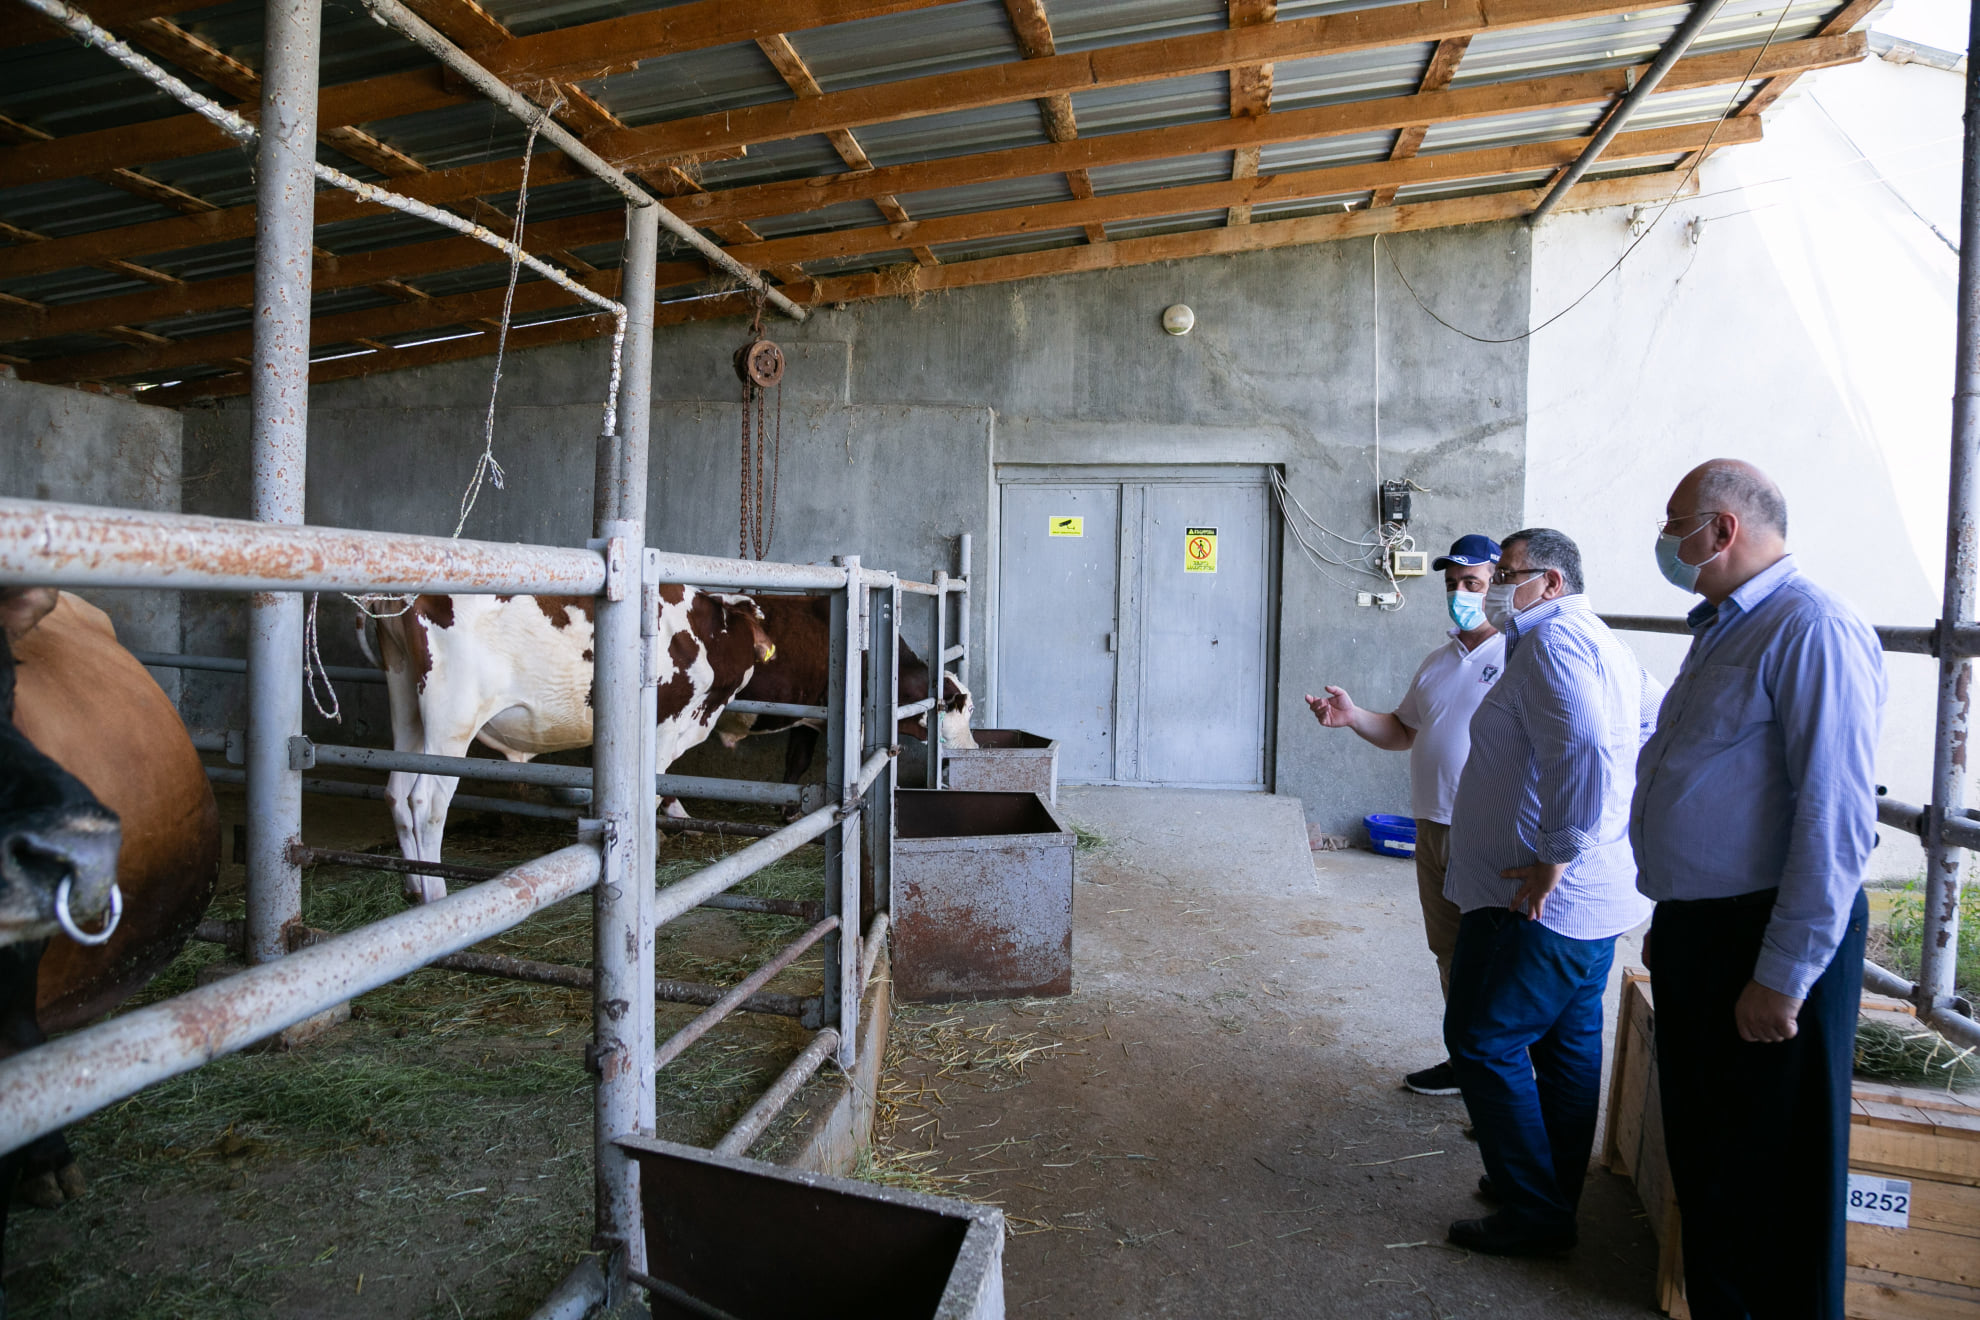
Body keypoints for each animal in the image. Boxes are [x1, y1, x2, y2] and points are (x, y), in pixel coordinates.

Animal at [360, 587, 774, 903]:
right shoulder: (664, 730)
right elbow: (653, 794)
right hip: (452, 720)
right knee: (426, 801)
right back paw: (434, 892)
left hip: (406, 705)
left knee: (396, 791)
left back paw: (413, 885)